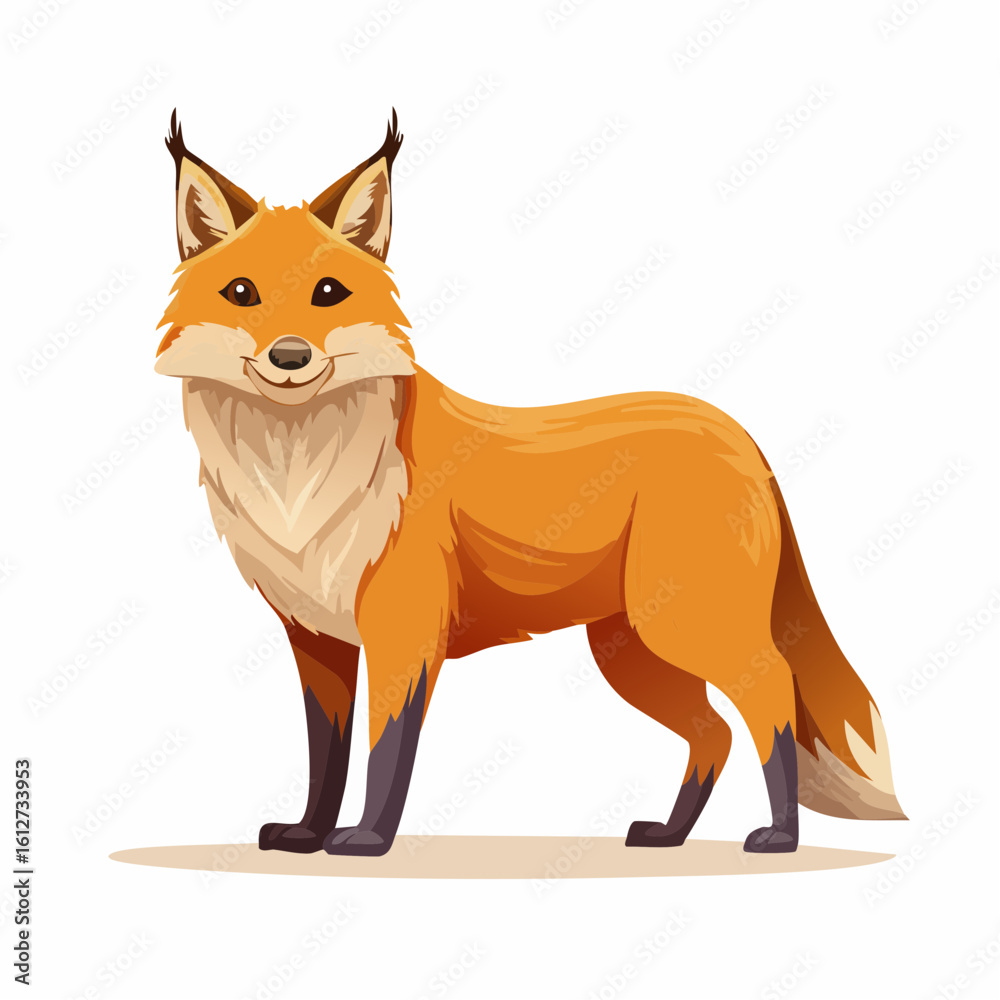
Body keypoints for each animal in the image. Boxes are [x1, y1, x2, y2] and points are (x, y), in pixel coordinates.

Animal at [155, 110, 905, 858]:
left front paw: (367, 838)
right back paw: (669, 834)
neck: (297, 484)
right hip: (630, 652)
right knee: (714, 731)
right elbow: (325, 755)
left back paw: (779, 835)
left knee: (774, 693)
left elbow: (385, 752)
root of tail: (740, 433)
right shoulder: (318, 640)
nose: (290, 356)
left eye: (328, 294)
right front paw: (307, 833)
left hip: (683, 626)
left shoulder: (403, 629)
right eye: (242, 294)